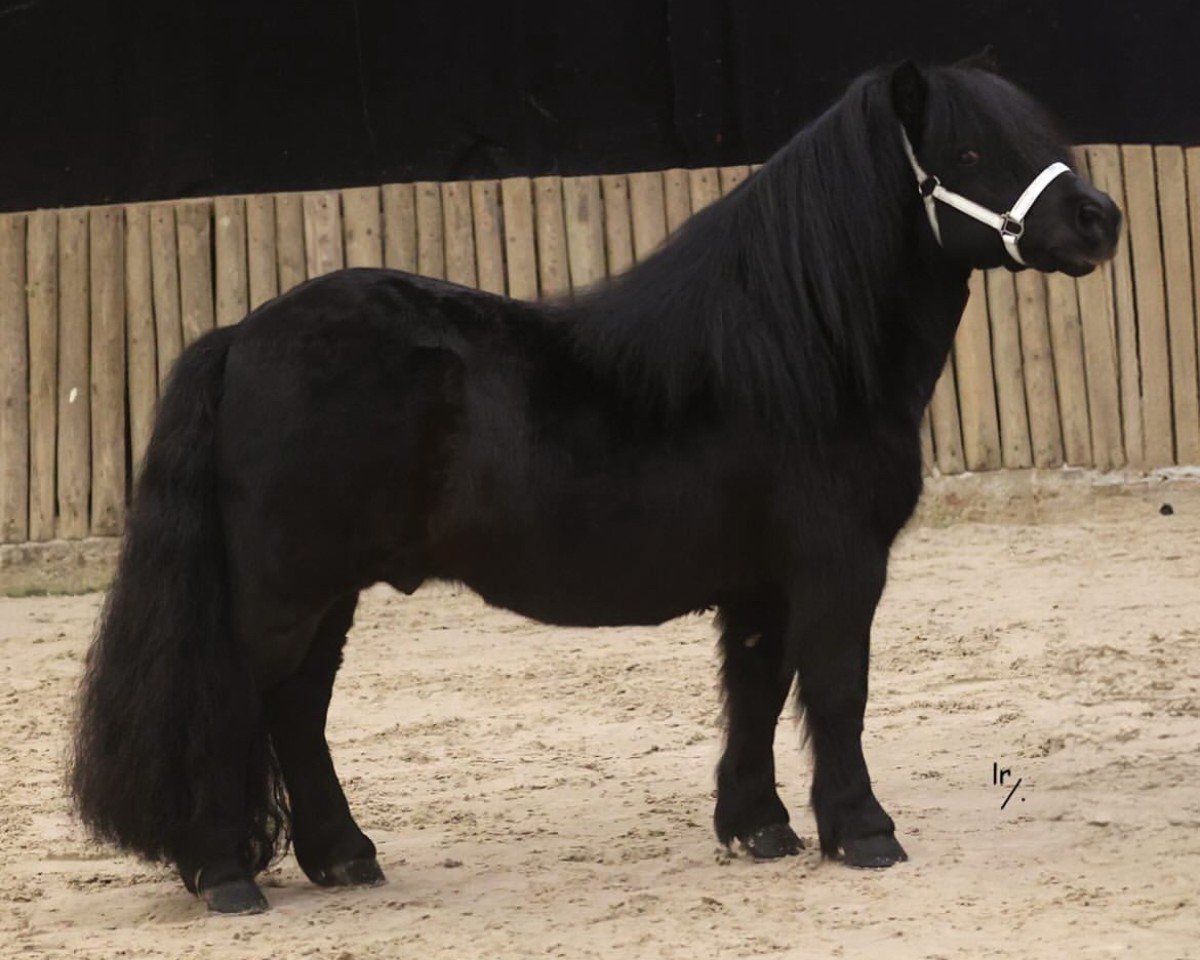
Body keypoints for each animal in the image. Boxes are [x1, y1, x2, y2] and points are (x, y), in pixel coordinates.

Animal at [69, 57, 1121, 914]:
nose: (1098, 220)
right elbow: (836, 689)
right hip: (284, 591)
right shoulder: (838, 567)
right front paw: (863, 832)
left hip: (327, 594)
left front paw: (760, 827)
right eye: (970, 149)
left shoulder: (761, 584)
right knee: (233, 698)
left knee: (295, 708)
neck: (800, 348)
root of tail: (239, 336)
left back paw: (344, 856)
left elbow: (758, 687)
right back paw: (227, 873)